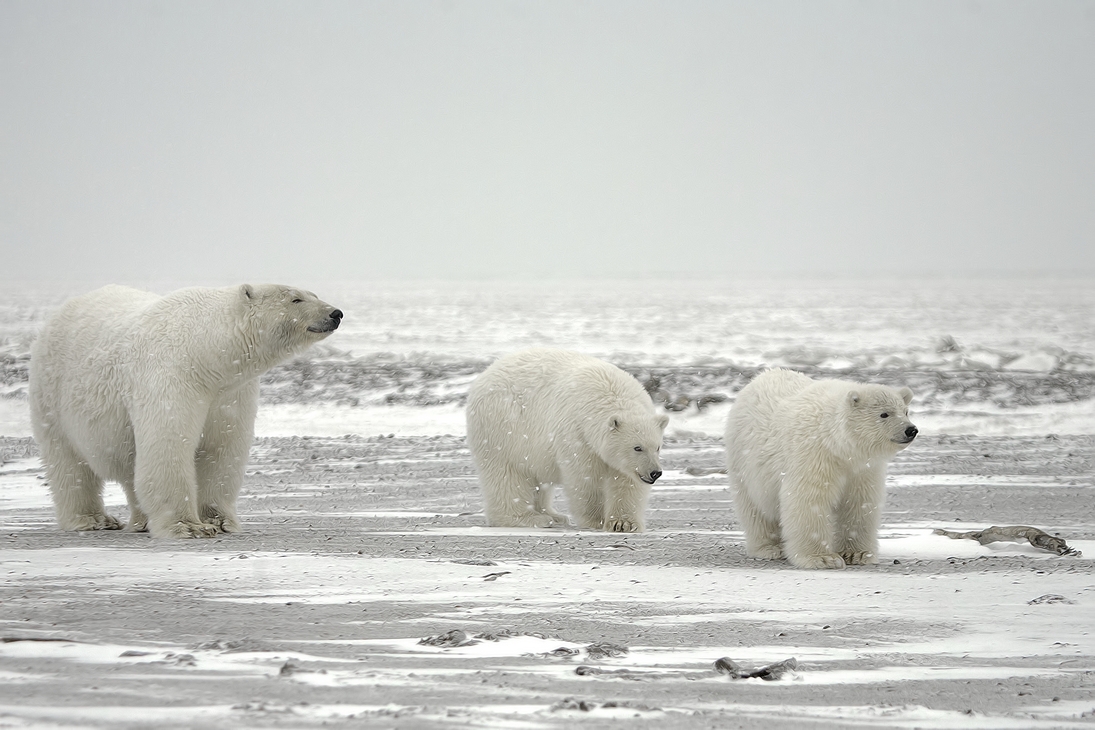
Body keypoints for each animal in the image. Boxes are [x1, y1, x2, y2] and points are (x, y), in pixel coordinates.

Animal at [28, 283, 342, 539]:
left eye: (313, 294)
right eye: (295, 299)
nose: (335, 313)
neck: (205, 353)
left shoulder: (231, 393)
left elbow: (221, 448)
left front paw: (219, 521)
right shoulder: (172, 376)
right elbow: (168, 445)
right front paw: (189, 526)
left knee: (130, 462)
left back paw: (141, 521)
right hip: (51, 394)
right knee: (69, 463)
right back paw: (94, 519)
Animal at [466, 348, 669, 532]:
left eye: (657, 447)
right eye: (637, 447)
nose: (655, 473)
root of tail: (484, 375)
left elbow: (627, 482)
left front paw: (623, 523)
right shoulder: (577, 434)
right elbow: (584, 477)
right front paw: (596, 519)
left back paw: (554, 515)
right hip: (501, 429)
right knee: (507, 476)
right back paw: (531, 518)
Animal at [724, 369, 917, 569]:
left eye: (906, 411)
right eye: (884, 414)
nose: (911, 430)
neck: (837, 443)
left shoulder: (863, 468)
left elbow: (860, 502)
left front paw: (857, 554)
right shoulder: (814, 455)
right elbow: (810, 500)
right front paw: (823, 558)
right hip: (745, 461)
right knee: (756, 508)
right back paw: (770, 548)